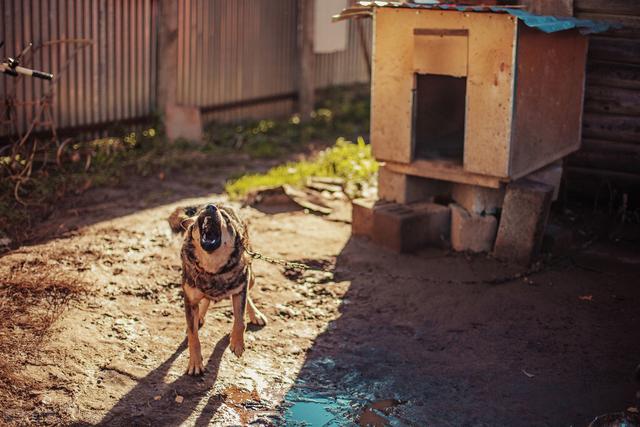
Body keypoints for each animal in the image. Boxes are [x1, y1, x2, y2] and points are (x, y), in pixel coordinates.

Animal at [169, 203, 266, 374]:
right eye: (201, 212)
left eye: (225, 218)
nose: (210, 206)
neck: (212, 268)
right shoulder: (189, 299)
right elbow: (193, 335)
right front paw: (195, 363)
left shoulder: (241, 287)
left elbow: (240, 320)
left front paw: (237, 344)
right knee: (204, 301)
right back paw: (199, 317)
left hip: (251, 276)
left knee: (247, 296)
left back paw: (255, 314)